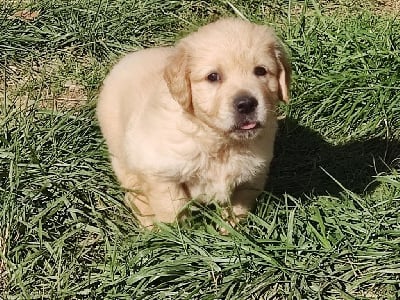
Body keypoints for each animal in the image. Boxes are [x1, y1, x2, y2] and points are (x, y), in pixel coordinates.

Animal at [97, 18, 290, 227]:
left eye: (260, 71)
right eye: (213, 76)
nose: (246, 104)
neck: (219, 143)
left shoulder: (252, 177)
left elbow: (239, 208)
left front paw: (231, 229)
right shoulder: (159, 172)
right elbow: (174, 210)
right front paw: (178, 234)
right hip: (120, 153)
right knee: (133, 192)